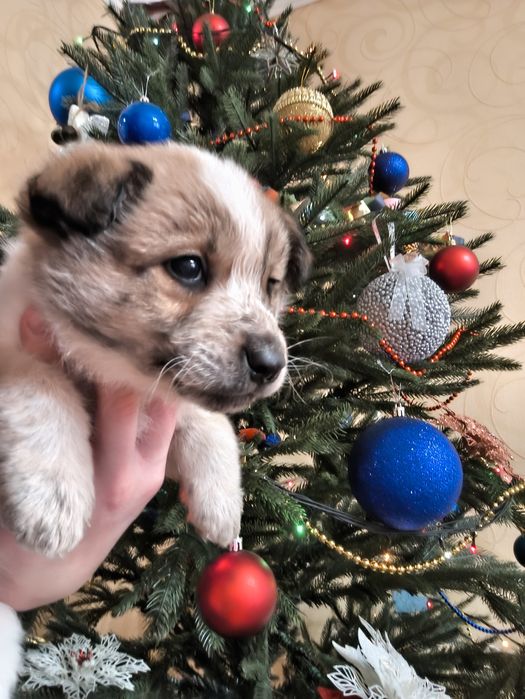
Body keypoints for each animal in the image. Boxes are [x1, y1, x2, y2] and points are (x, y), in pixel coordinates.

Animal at [0, 142, 311, 698]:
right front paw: (54, 498)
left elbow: (207, 421)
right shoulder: (15, 350)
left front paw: (221, 504)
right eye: (188, 267)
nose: (273, 363)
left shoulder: (169, 401)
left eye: (270, 285)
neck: (112, 371)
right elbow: (42, 384)